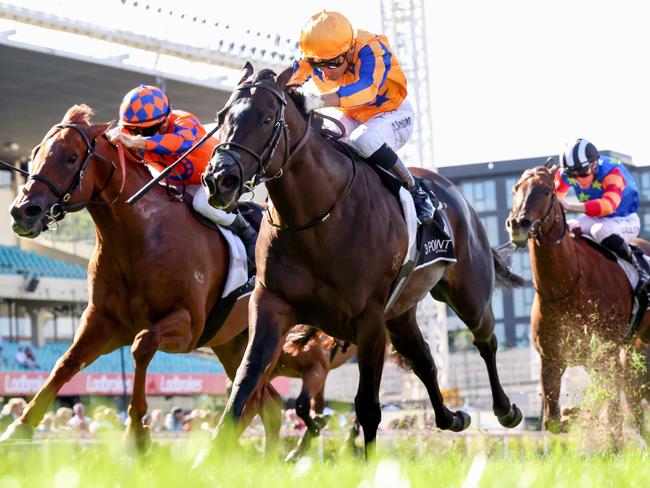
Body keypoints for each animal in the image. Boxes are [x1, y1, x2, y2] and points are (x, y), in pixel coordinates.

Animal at [4, 105, 284, 452]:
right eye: (34, 153)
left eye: (70, 157)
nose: (22, 212)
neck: (138, 237)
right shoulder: (102, 321)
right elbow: (66, 361)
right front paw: (21, 424)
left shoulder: (189, 324)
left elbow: (142, 343)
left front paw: (137, 431)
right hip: (232, 342)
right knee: (266, 404)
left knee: (258, 401)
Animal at [200, 63, 524, 456]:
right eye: (221, 117)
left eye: (265, 118)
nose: (219, 179)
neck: (316, 219)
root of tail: (455, 193)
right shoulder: (270, 303)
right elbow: (245, 382)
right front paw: (210, 455)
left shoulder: (368, 320)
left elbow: (367, 406)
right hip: (400, 312)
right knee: (424, 361)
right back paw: (451, 417)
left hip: (467, 294)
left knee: (485, 340)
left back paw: (506, 410)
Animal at [506, 166, 648, 440]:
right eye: (516, 188)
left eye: (546, 191)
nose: (518, 223)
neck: (566, 288)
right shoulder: (551, 358)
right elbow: (552, 420)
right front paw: (571, 415)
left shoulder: (607, 353)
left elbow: (611, 412)